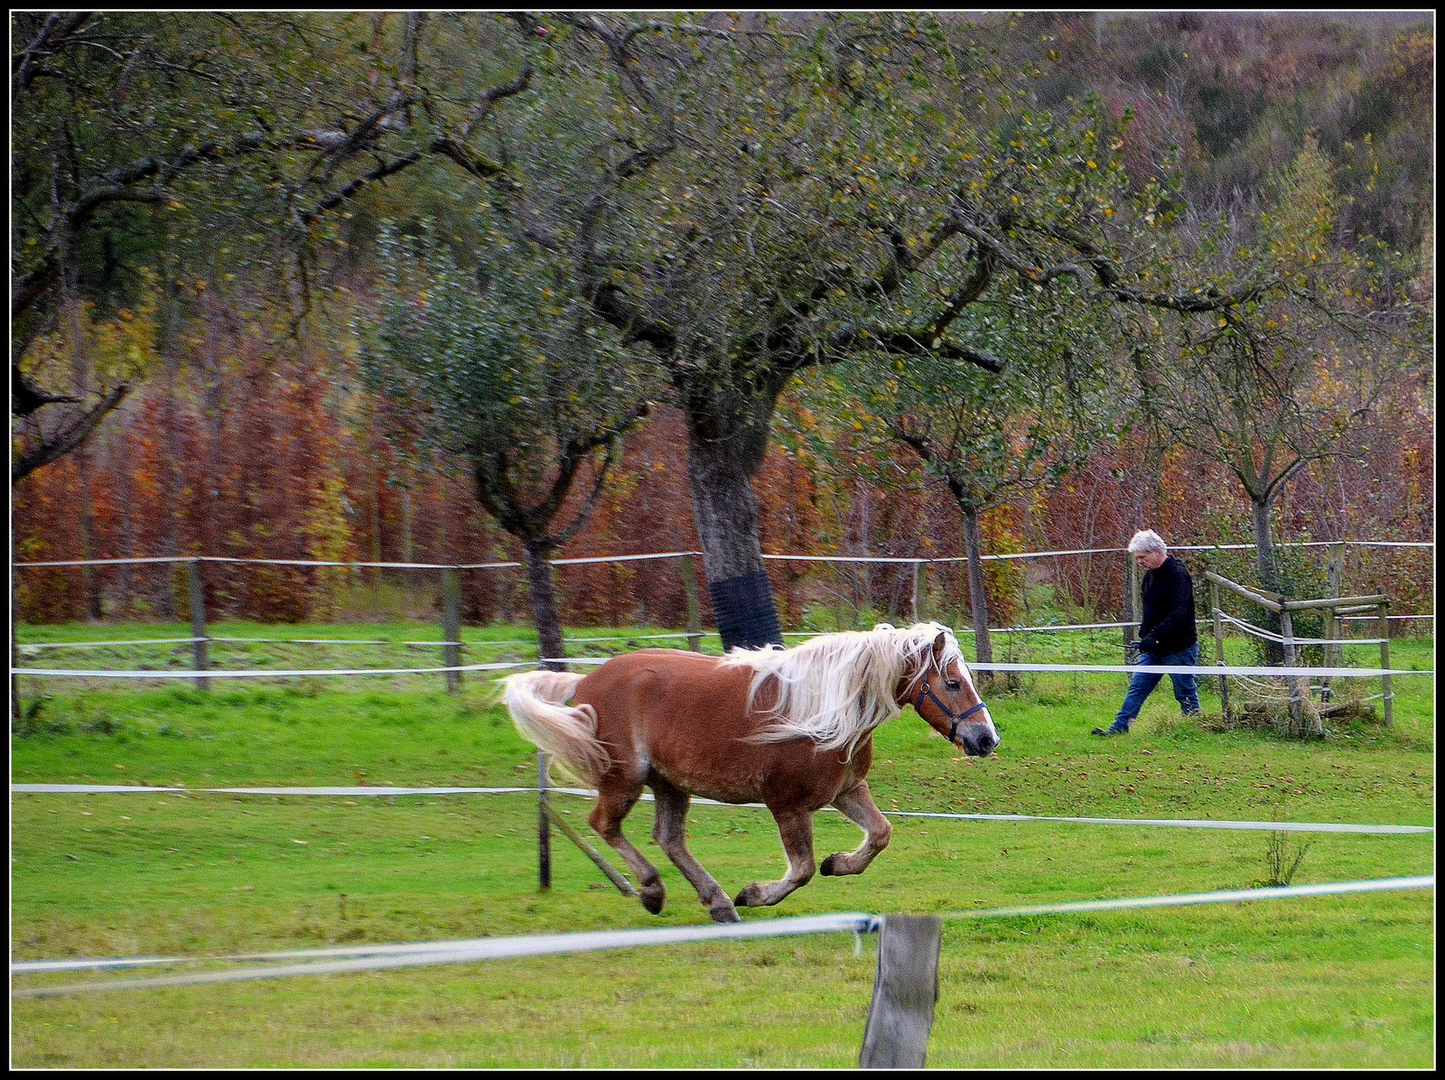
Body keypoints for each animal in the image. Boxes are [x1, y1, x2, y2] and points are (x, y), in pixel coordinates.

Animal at [502, 624, 999, 919]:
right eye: (952, 682)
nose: (986, 739)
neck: (824, 709)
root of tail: (585, 681)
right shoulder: (787, 805)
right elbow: (801, 870)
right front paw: (756, 893)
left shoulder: (847, 791)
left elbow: (880, 835)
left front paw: (838, 863)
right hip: (624, 780)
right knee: (605, 825)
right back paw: (653, 892)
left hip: (669, 783)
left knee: (668, 838)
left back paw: (718, 903)